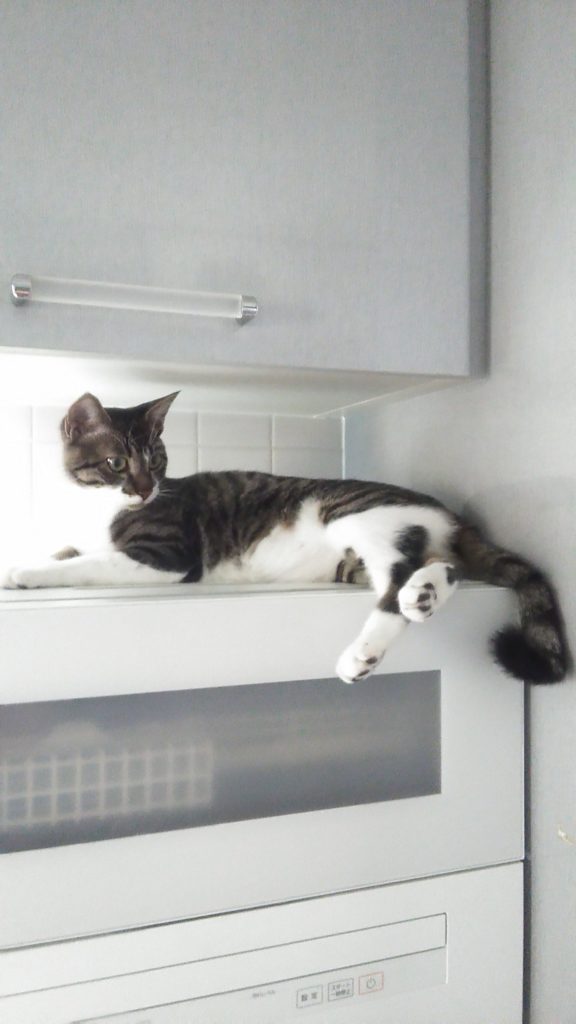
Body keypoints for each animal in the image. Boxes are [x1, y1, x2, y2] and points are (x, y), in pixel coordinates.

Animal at [2, 392, 568, 685]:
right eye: (116, 463)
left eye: (157, 460)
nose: (144, 489)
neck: (96, 508)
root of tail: (449, 514)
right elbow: (70, 549)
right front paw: (39, 554)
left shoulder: (165, 556)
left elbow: (85, 563)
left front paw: (25, 571)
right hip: (354, 558)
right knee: (442, 568)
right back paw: (424, 595)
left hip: (353, 515)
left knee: (397, 576)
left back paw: (365, 650)